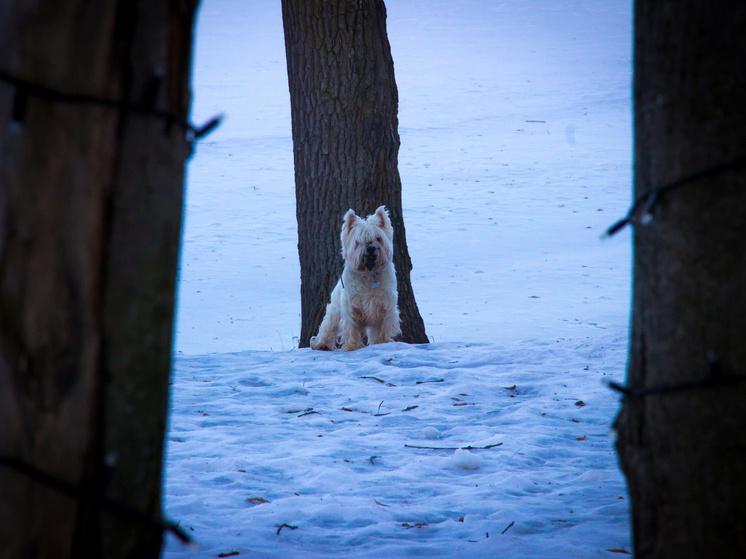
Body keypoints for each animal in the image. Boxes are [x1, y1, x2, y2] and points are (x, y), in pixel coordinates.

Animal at [310, 206, 398, 352]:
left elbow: (382, 328)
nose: (370, 248)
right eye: (358, 241)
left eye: (378, 238)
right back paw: (321, 344)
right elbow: (350, 328)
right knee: (328, 327)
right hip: (334, 310)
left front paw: (382, 343)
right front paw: (352, 347)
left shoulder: (385, 307)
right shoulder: (350, 307)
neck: (369, 274)